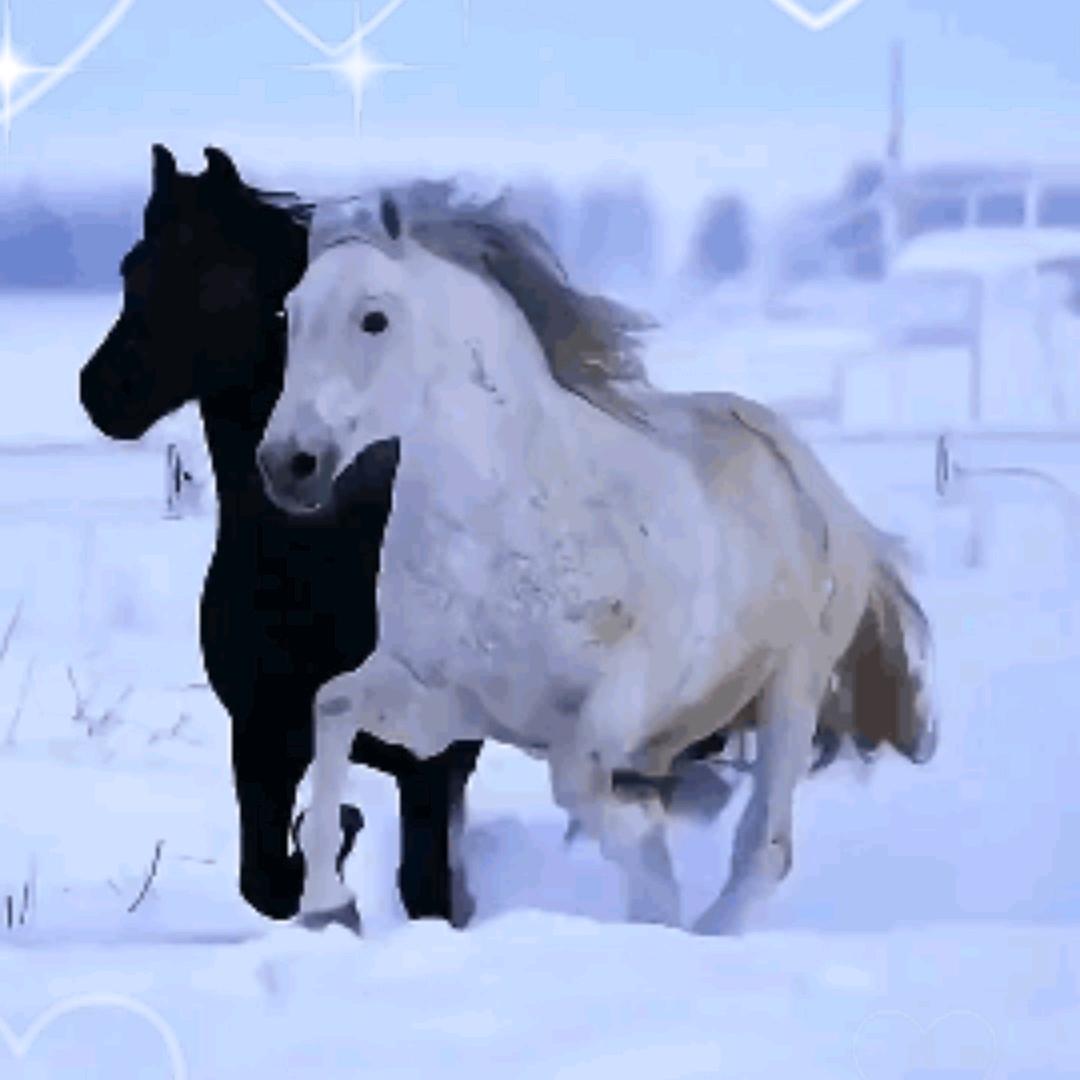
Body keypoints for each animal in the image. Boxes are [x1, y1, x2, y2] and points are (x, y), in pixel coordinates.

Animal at [78, 146, 482, 928]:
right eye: (132, 267)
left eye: (215, 275)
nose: (104, 390)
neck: (322, 556)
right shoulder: (263, 735)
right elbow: (265, 879)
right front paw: (332, 855)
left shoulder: (429, 756)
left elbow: (425, 888)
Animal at [256, 184, 938, 934]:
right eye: (290, 314)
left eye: (374, 318)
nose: (287, 464)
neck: (501, 538)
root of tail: (815, 484)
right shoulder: (445, 705)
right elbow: (333, 704)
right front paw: (328, 907)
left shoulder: (626, 697)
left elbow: (581, 779)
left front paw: (639, 838)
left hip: (792, 689)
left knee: (766, 848)